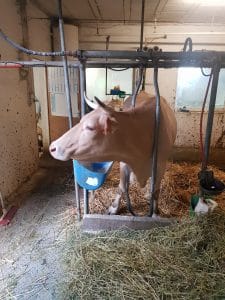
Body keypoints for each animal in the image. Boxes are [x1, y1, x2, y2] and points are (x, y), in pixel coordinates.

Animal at [49, 90, 178, 217]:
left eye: (90, 127)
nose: (52, 147)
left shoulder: (160, 164)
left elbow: (155, 190)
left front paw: (155, 212)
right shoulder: (124, 162)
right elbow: (121, 187)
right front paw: (114, 208)